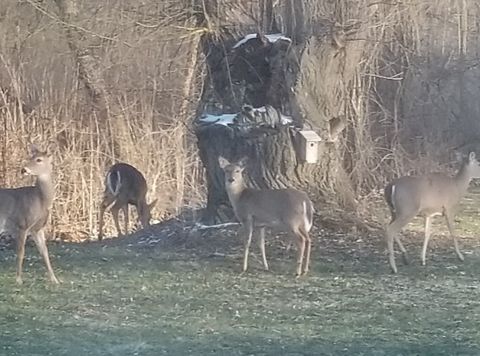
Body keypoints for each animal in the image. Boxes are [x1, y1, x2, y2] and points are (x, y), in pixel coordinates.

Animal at [0, 143, 59, 286]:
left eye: (39, 159)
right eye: (30, 157)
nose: (23, 169)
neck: (40, 200)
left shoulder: (38, 228)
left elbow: (45, 252)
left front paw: (54, 279)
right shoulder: (22, 224)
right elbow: (21, 252)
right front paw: (18, 279)